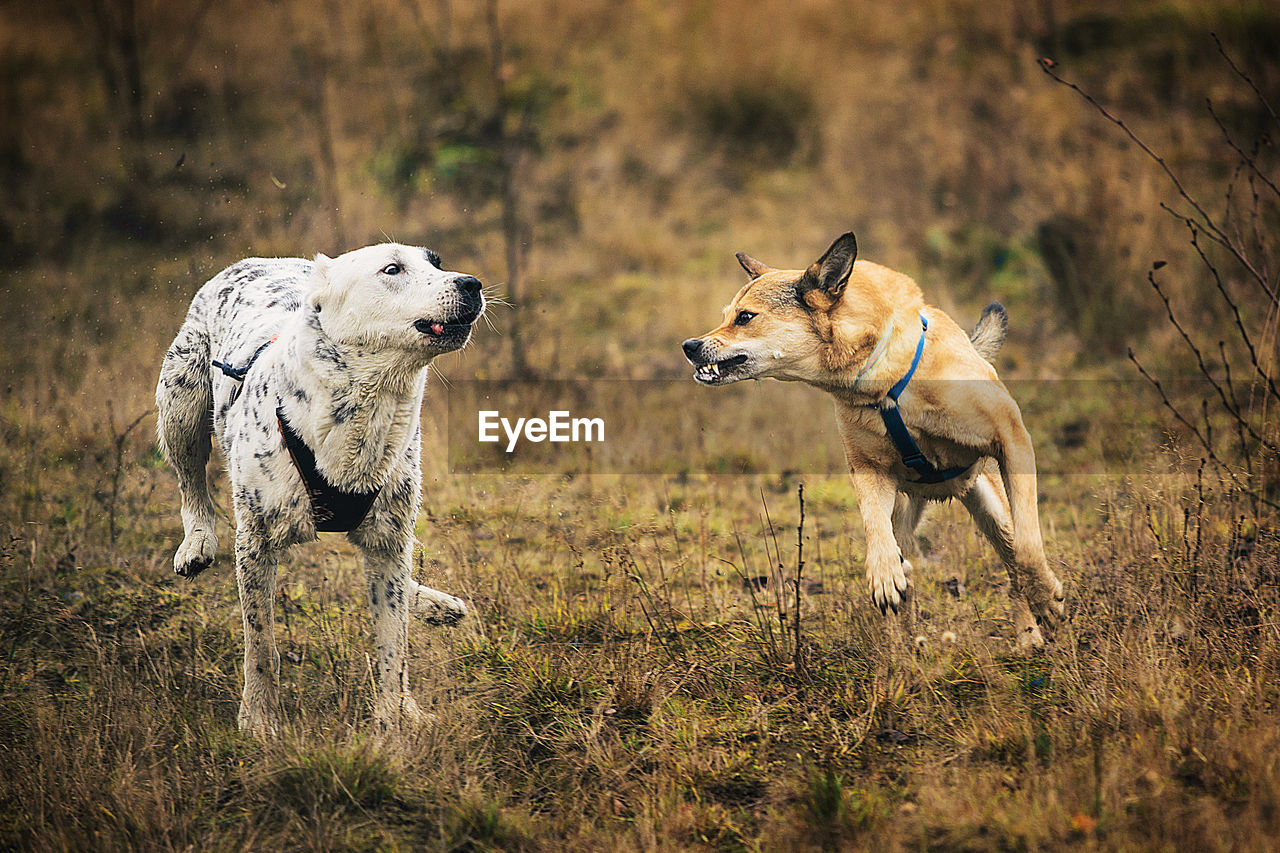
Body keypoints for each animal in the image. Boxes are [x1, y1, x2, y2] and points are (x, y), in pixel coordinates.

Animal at [156, 239, 483, 732]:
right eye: (392, 269)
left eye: (437, 263)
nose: (472, 283)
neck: (365, 406)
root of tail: (258, 261)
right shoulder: (255, 542)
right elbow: (261, 645)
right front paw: (259, 720)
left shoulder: (389, 541)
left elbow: (394, 648)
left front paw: (393, 722)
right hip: (181, 394)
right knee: (189, 480)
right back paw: (196, 543)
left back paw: (431, 616)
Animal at [686, 233, 1064, 645]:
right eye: (727, 314)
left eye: (745, 317)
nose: (690, 346)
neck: (884, 380)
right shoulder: (868, 470)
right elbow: (873, 525)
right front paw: (884, 574)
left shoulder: (1011, 439)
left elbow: (1028, 546)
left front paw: (1047, 599)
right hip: (906, 509)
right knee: (906, 564)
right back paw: (904, 642)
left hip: (993, 509)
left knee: (1013, 562)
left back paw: (1028, 635)